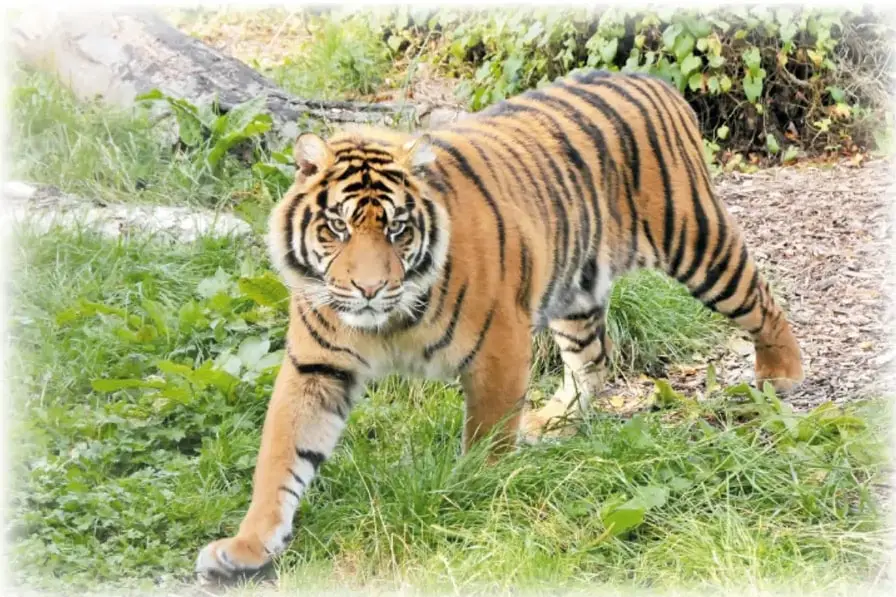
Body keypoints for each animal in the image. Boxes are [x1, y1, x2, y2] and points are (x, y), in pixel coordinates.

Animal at [195, 69, 804, 583]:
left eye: (396, 229)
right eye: (338, 228)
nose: (368, 289)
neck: (386, 323)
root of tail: (650, 79)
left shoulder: (498, 343)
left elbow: (487, 433)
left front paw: (474, 493)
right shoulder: (315, 366)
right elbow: (280, 458)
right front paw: (246, 547)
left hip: (694, 240)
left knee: (759, 296)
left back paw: (781, 373)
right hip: (576, 286)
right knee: (594, 359)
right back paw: (554, 419)